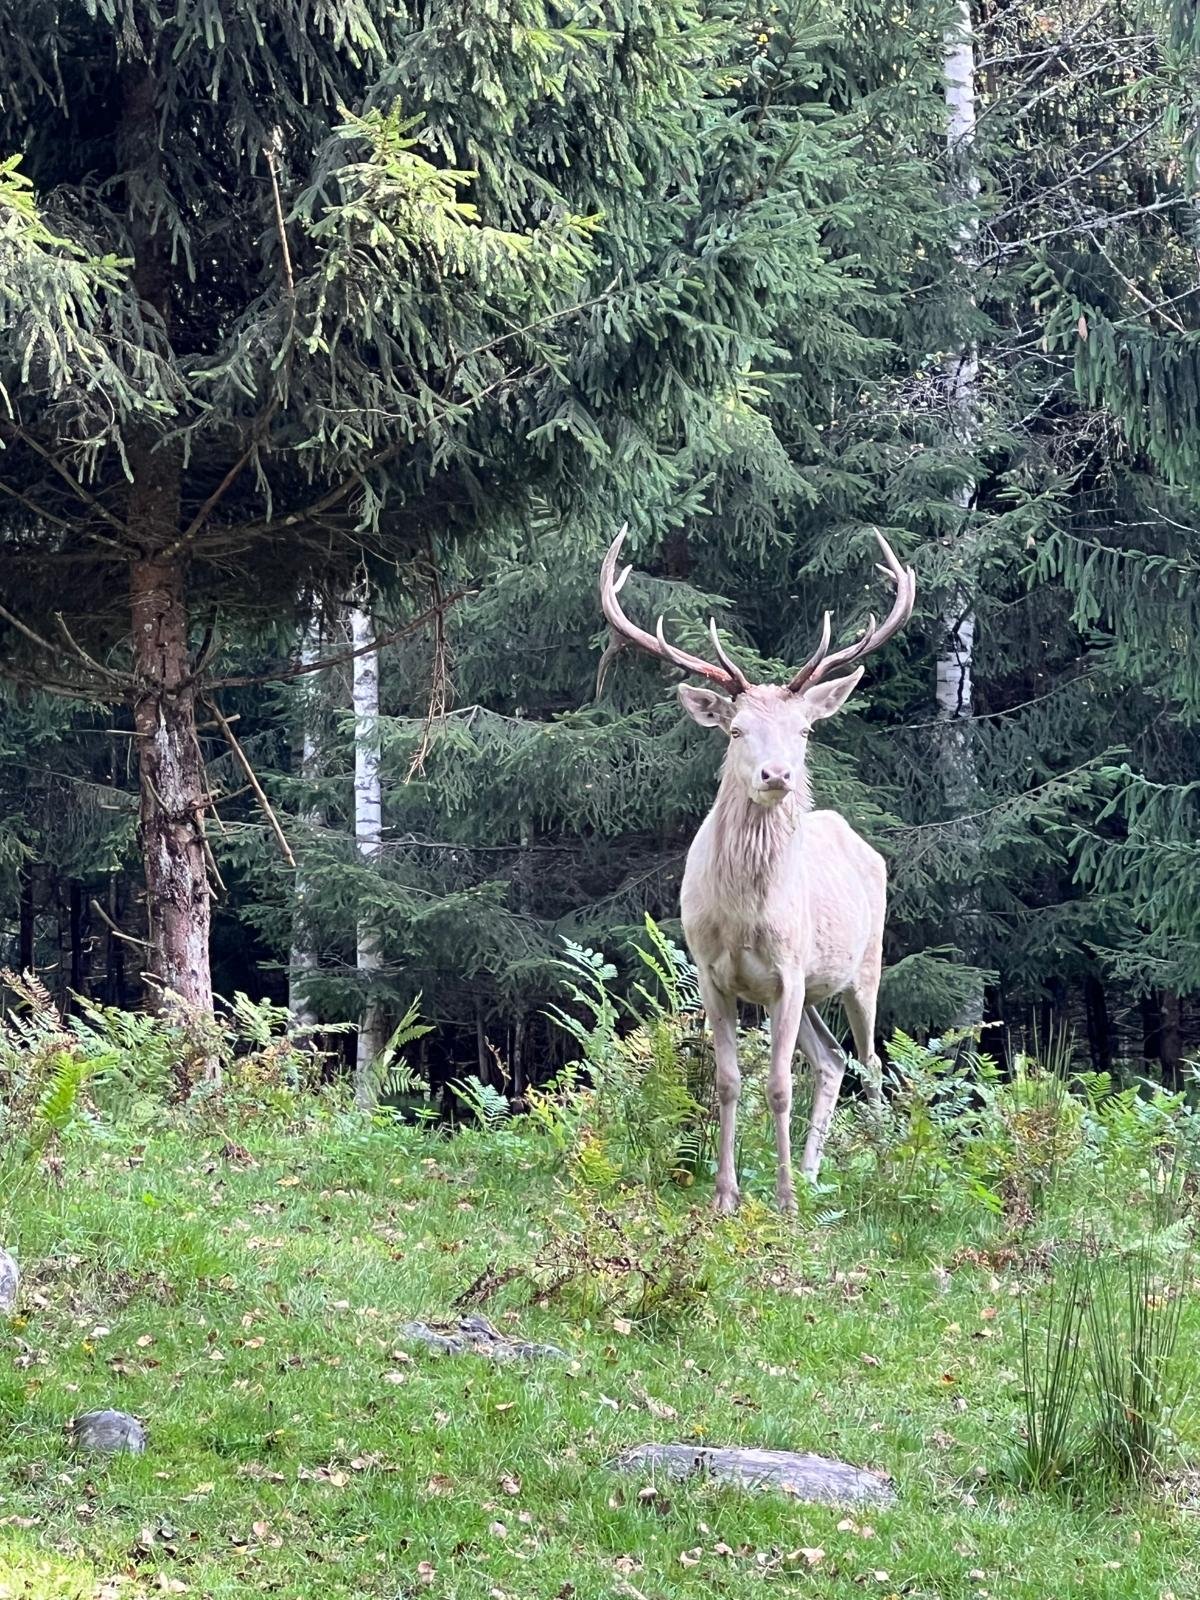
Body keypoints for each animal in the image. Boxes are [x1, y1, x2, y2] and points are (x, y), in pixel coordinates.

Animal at [598, 527, 915, 1213]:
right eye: (737, 729)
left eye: (804, 730)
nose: (778, 775)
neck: (744, 918)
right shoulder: (714, 975)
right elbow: (727, 1081)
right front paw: (726, 1196)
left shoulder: (788, 974)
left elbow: (776, 1085)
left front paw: (784, 1200)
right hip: (819, 987)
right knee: (831, 1060)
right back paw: (818, 1171)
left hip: (866, 964)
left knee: (872, 1062)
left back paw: (880, 1169)